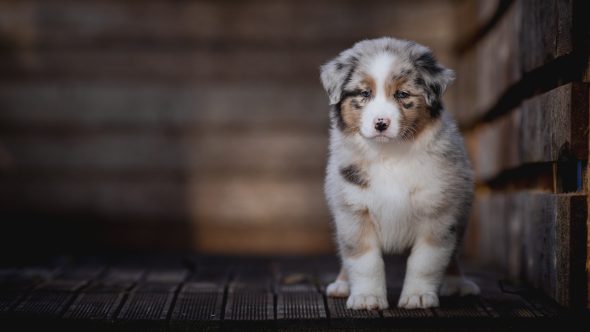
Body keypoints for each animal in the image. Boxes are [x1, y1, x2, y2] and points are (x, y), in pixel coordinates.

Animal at [322, 37, 484, 310]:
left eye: (402, 94)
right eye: (365, 93)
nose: (381, 123)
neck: (390, 154)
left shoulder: (438, 212)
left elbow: (425, 260)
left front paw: (418, 296)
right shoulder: (353, 211)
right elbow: (364, 260)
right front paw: (367, 297)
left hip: (461, 215)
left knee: (453, 254)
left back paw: (457, 283)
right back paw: (342, 284)